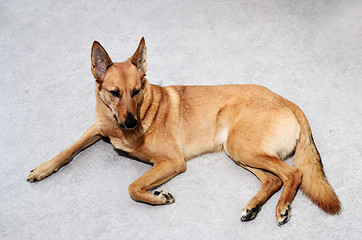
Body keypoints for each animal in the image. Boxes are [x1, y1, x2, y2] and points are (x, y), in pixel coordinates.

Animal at [26, 37, 340, 225]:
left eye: (136, 91)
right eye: (115, 93)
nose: (130, 123)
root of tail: (287, 100)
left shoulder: (171, 162)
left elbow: (133, 187)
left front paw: (157, 197)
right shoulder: (98, 128)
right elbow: (68, 149)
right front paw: (43, 169)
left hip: (242, 148)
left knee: (293, 174)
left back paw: (282, 208)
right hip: (239, 151)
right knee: (273, 180)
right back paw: (252, 207)